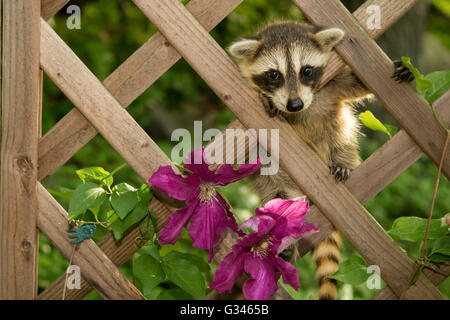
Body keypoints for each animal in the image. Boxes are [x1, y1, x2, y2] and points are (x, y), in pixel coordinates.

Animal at [230, 21, 414, 300]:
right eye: (274, 75)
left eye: (306, 70)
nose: (294, 105)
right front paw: (265, 97)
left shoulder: (330, 86)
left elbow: (354, 82)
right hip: (274, 182)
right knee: (275, 191)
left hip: (339, 142)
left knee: (342, 139)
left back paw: (341, 163)